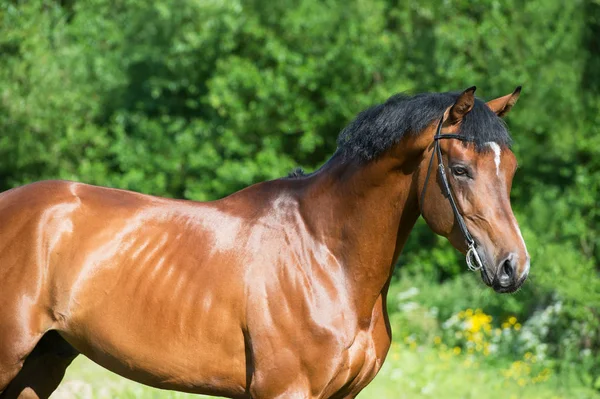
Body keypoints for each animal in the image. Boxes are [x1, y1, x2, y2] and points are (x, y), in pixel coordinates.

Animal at [0, 88, 528, 399]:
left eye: (511, 168)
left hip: (42, 363)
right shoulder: (285, 391)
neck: (326, 256)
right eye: (460, 169)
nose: (512, 267)